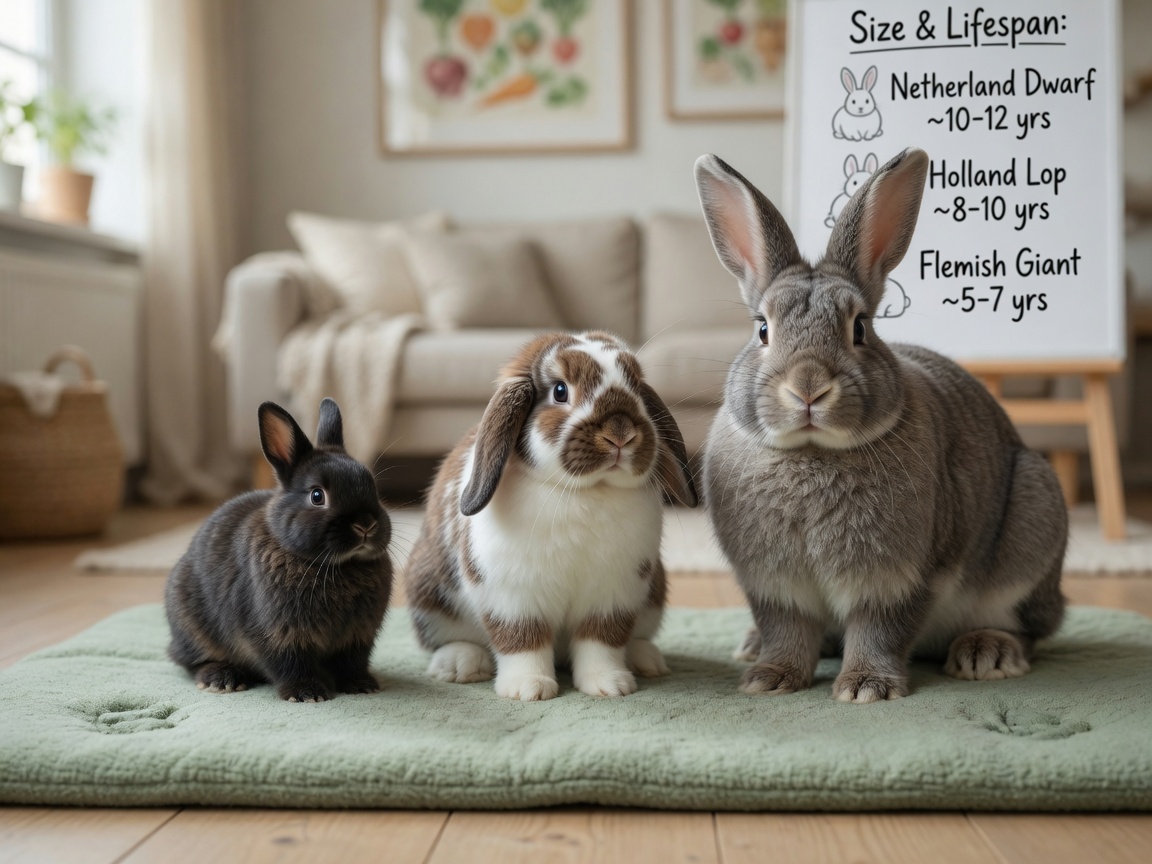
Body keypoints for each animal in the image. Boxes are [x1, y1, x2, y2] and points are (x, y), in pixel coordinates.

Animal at [165, 398, 394, 703]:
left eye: (373, 488)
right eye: (317, 496)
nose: (366, 524)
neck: (333, 565)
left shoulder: (358, 636)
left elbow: (352, 663)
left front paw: (361, 685)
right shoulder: (276, 635)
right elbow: (289, 663)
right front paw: (307, 693)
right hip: (192, 626)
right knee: (192, 661)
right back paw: (221, 679)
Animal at [403, 331, 697, 702]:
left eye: (635, 386)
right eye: (560, 391)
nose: (621, 434)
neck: (583, 492)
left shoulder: (613, 595)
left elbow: (601, 640)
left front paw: (609, 685)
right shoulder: (514, 597)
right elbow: (522, 640)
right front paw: (528, 689)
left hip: (654, 593)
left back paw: (647, 660)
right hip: (429, 595)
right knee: (450, 639)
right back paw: (460, 665)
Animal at [694, 148, 1067, 703]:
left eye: (860, 328)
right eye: (762, 329)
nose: (808, 388)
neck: (812, 452)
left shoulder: (901, 579)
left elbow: (880, 630)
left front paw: (866, 687)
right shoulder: (774, 587)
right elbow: (787, 630)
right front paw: (771, 679)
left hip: (1032, 520)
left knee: (1029, 628)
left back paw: (986, 653)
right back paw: (752, 646)